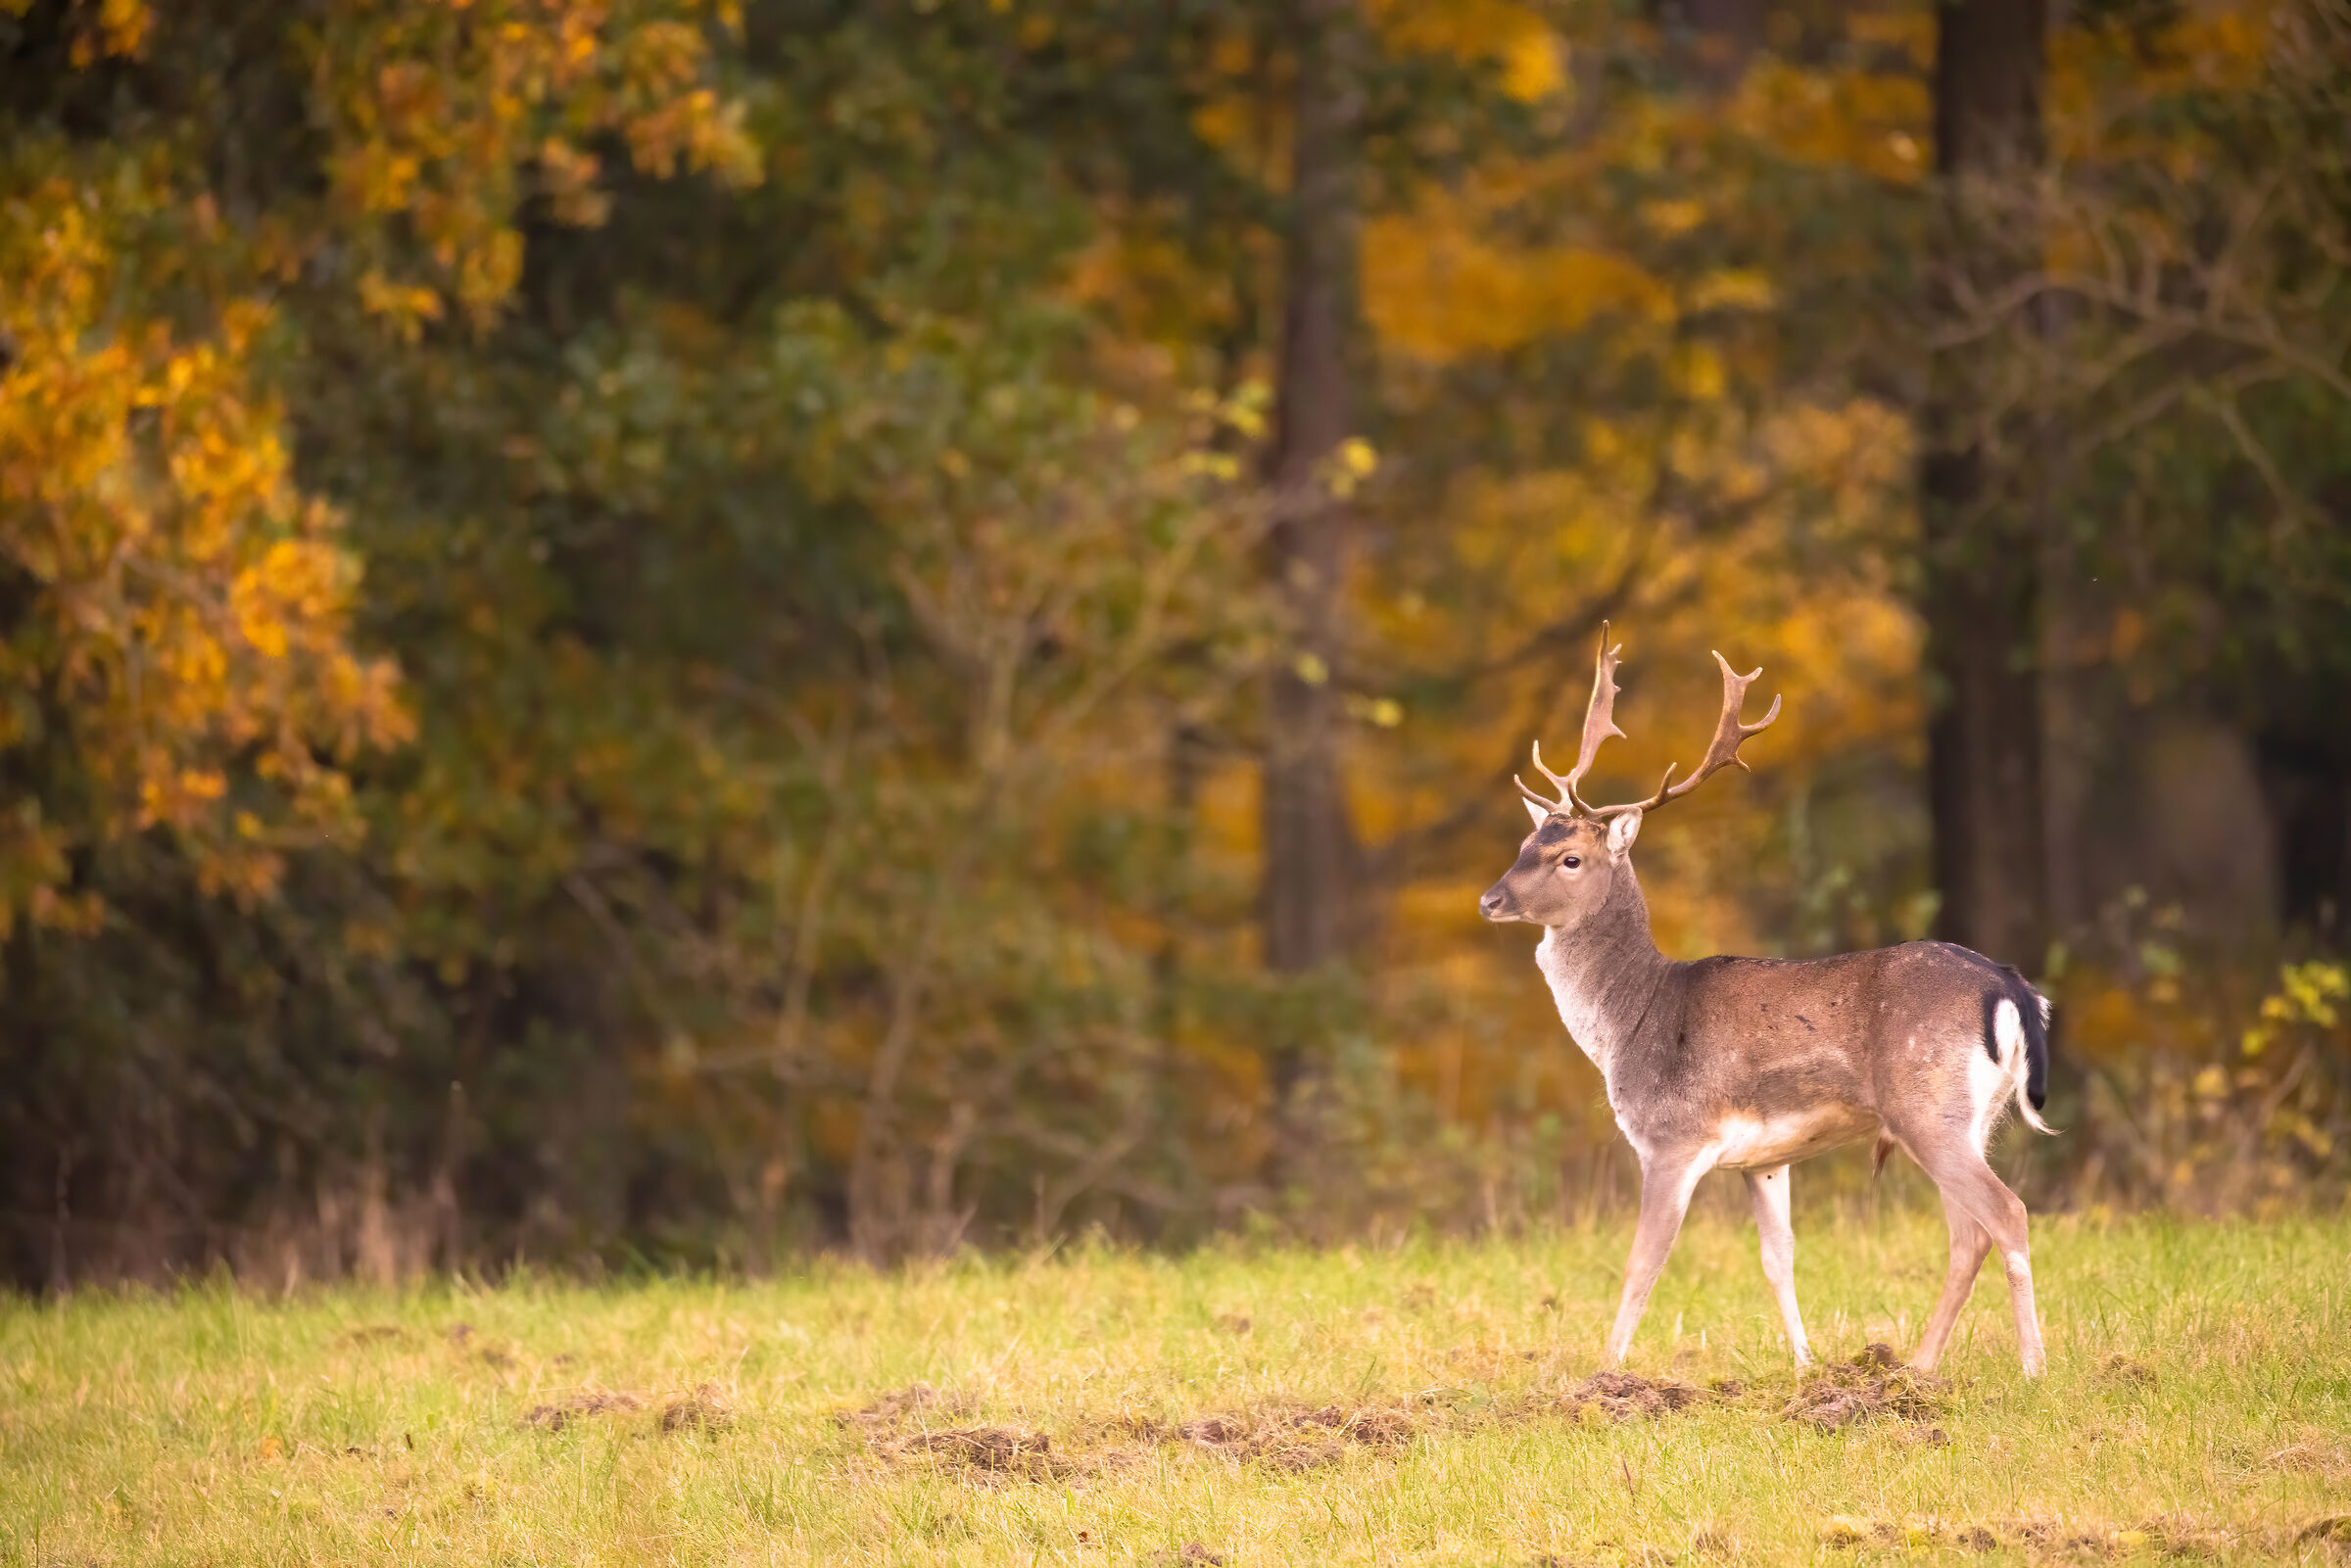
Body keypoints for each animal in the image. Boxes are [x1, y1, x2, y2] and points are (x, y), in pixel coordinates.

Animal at [1479, 627, 2056, 1376]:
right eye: (1525, 843)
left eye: (1569, 858)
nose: (1490, 899)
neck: (1629, 1023)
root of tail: (2011, 987)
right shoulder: (1764, 1159)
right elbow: (1778, 1259)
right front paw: (1807, 1367)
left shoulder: (1672, 1137)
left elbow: (1642, 1264)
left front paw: (1603, 1374)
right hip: (1970, 1117)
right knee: (1969, 1232)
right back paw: (1916, 1369)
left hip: (1926, 1105)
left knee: (2006, 1213)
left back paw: (2032, 1368)